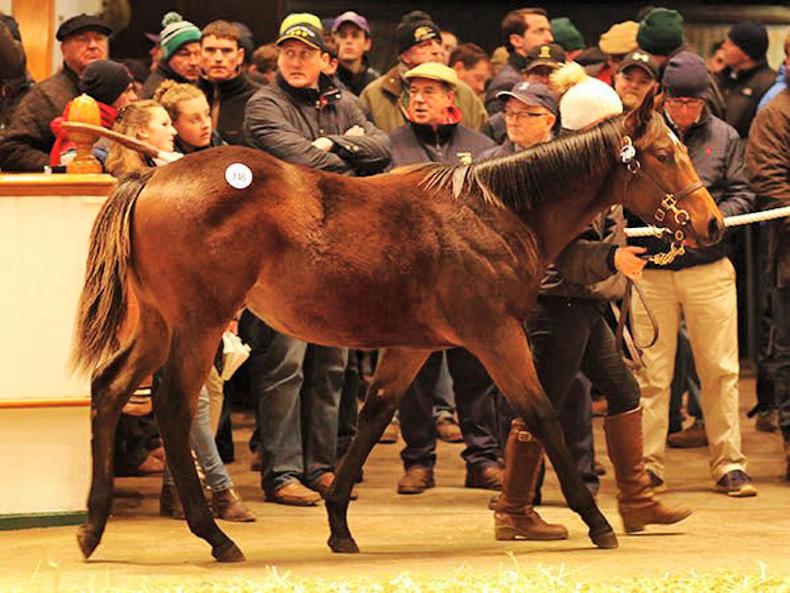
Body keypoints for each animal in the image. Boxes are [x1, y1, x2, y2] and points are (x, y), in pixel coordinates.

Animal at [71, 93, 723, 563]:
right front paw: (596, 520)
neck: (495, 211)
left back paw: (92, 528)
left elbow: (371, 418)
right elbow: (540, 415)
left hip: (158, 325)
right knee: (173, 408)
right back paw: (215, 536)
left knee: (109, 390)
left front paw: (339, 524)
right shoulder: (495, 335)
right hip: (198, 326)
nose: (712, 223)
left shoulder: (410, 346)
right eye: (664, 154)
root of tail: (154, 177)